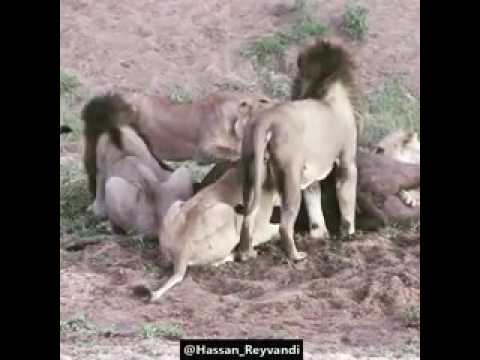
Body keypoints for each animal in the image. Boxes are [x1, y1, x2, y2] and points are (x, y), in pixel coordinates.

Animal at [239, 38, 356, 260]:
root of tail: (267, 120)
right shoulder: (347, 161)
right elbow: (346, 198)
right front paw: (348, 234)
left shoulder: (311, 172)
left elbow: (314, 200)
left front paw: (320, 234)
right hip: (290, 175)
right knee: (284, 225)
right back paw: (296, 256)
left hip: (252, 174)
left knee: (248, 216)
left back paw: (247, 254)